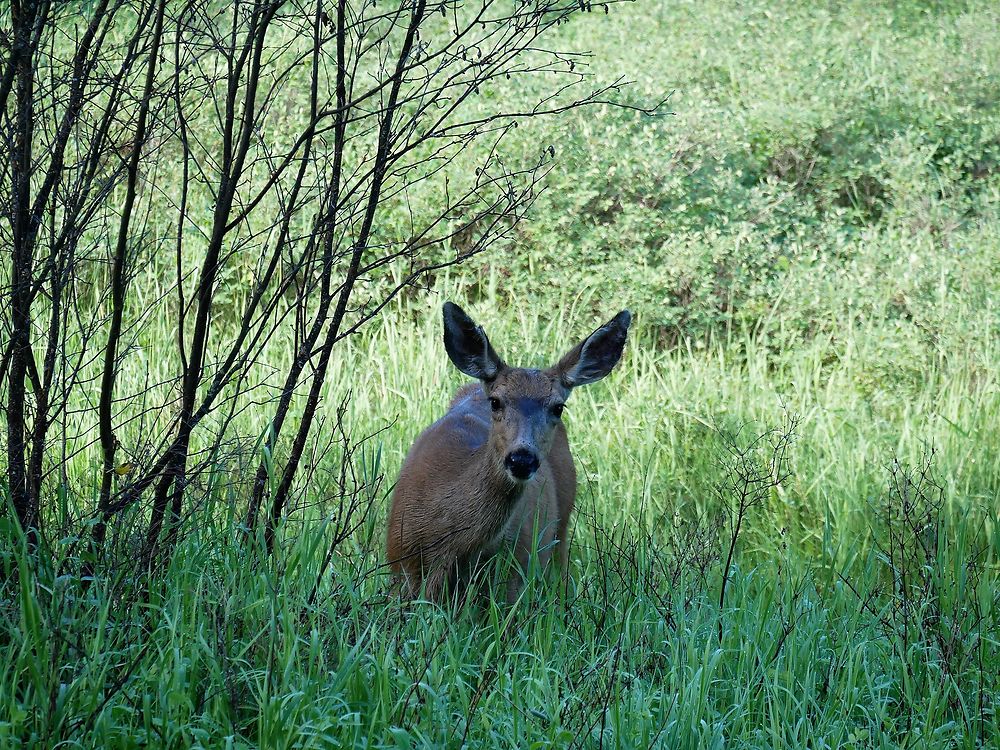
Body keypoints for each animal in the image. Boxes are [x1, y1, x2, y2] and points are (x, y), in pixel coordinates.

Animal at [384, 302, 628, 604]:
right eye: (496, 402)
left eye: (558, 407)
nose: (522, 459)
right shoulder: (401, 567)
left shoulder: (515, 573)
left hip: (560, 528)